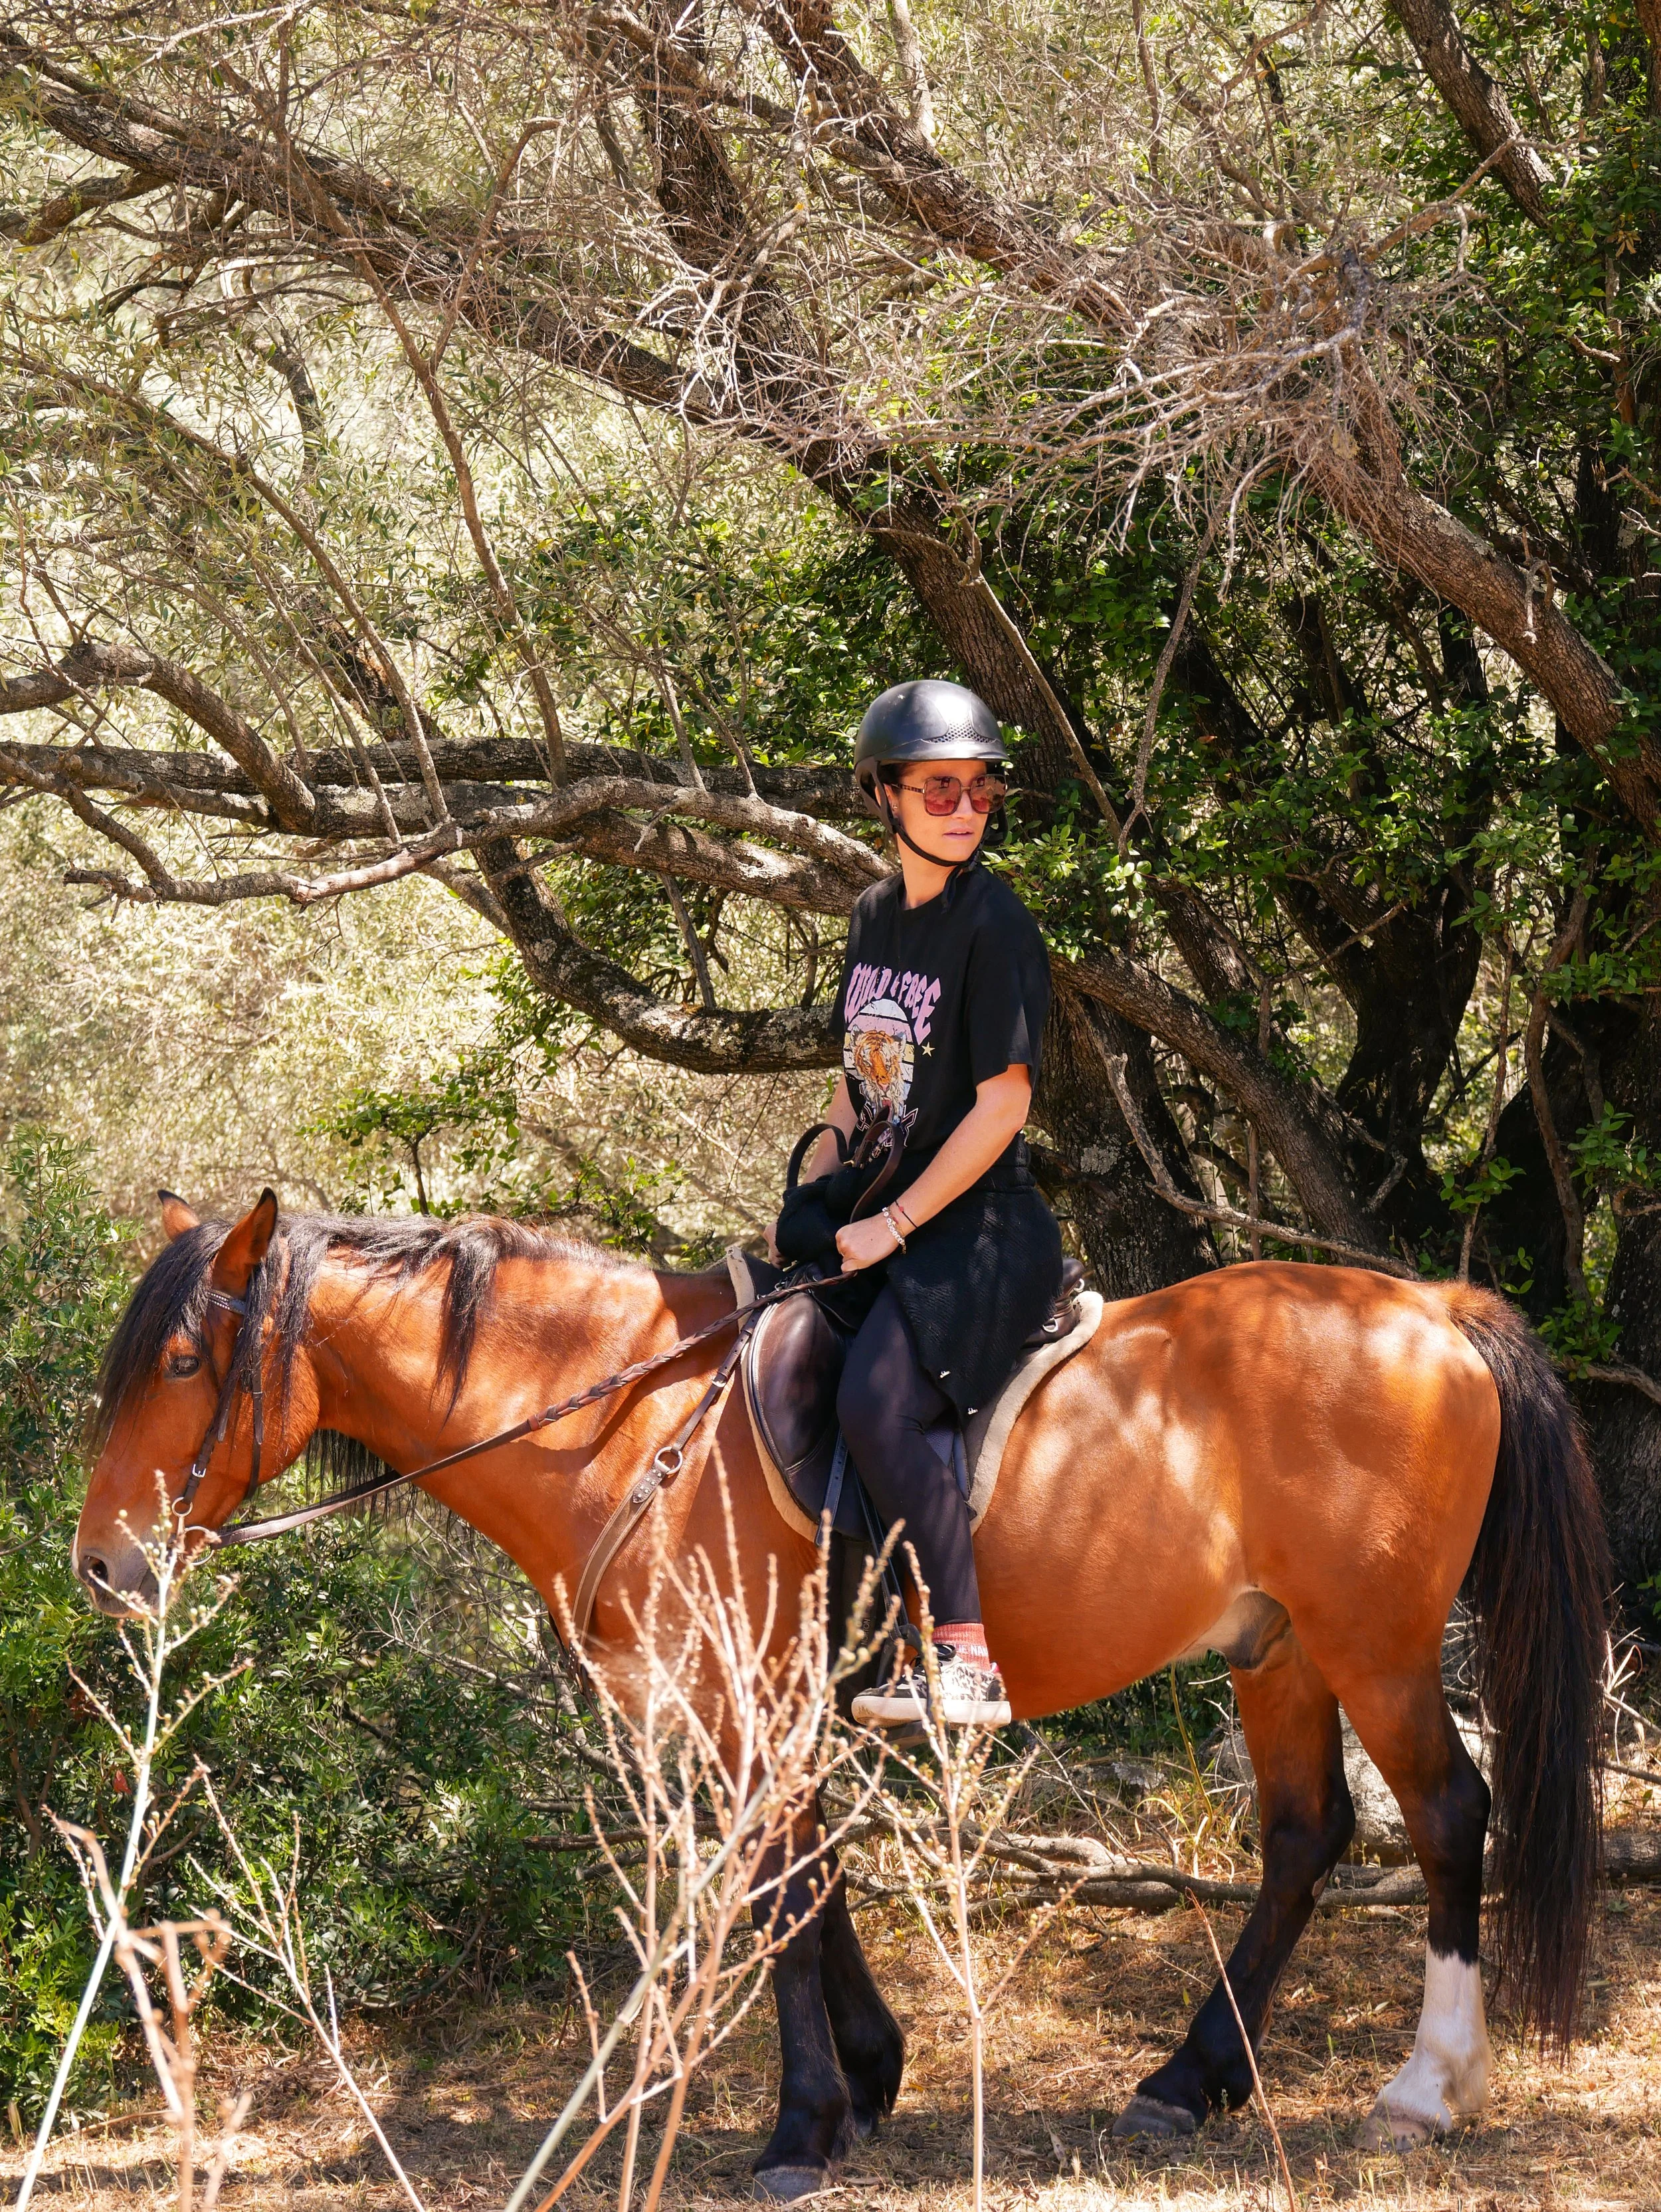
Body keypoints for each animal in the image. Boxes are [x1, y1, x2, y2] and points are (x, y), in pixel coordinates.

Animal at [75, 1189, 1609, 2194]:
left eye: (181, 1361)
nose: (100, 1564)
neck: (623, 1414)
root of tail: (1430, 1308)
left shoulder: (752, 1704)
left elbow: (779, 1897)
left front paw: (802, 2123)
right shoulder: (761, 1711)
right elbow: (812, 1882)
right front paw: (869, 2072)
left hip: (1374, 1643)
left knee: (1447, 1816)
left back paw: (1427, 2083)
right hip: (1273, 1644)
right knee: (1302, 1839)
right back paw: (1188, 2080)